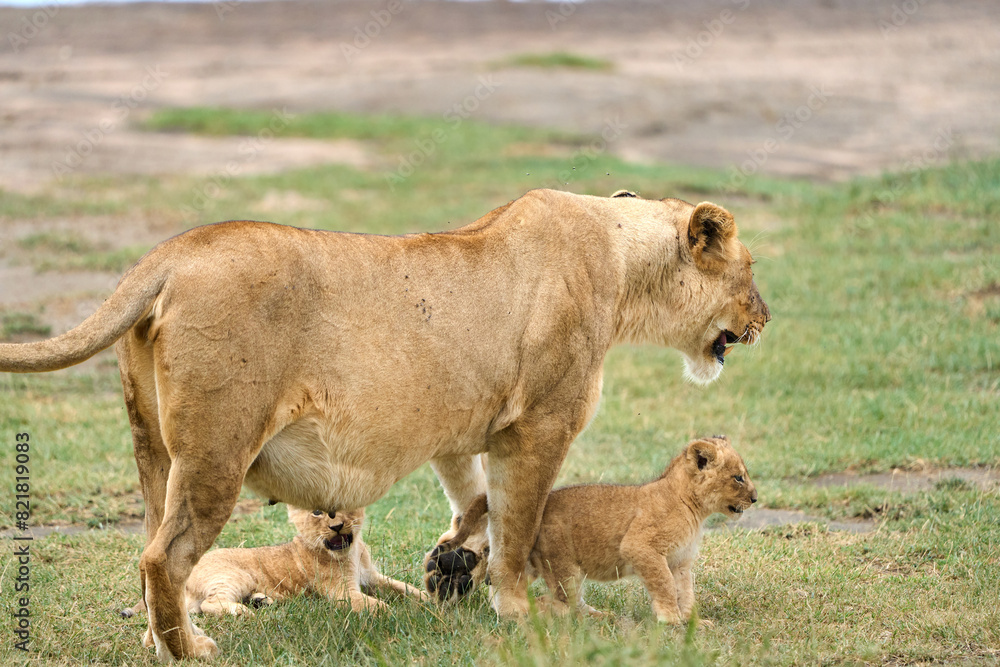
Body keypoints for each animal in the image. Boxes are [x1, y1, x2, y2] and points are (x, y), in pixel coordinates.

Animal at [437, 436, 757, 624]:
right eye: (738, 478)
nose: (755, 498)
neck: (694, 509)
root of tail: (543, 501)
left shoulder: (680, 562)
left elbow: (685, 591)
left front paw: (692, 622)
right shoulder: (640, 547)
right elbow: (664, 585)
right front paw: (671, 620)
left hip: (537, 562)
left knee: (501, 580)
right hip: (564, 565)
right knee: (563, 602)